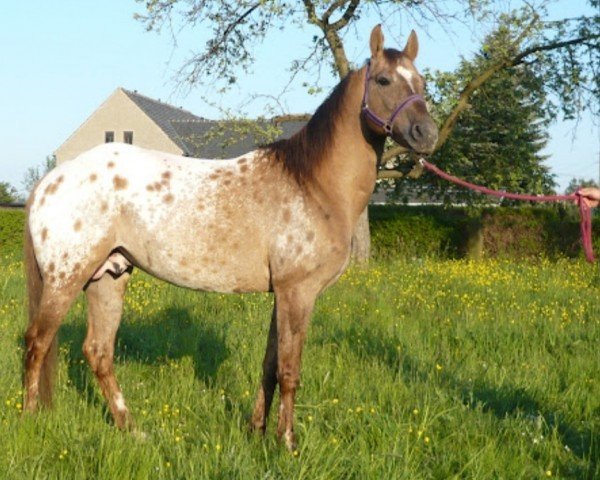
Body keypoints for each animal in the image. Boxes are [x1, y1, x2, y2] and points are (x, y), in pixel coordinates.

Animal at [23, 24, 438, 452]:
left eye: (422, 82)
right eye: (384, 80)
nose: (427, 134)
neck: (313, 184)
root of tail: (50, 181)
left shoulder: (282, 293)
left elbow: (270, 365)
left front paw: (257, 432)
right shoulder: (298, 292)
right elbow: (290, 370)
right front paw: (287, 444)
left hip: (109, 276)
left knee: (98, 352)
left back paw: (132, 429)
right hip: (66, 278)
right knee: (37, 342)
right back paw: (30, 421)